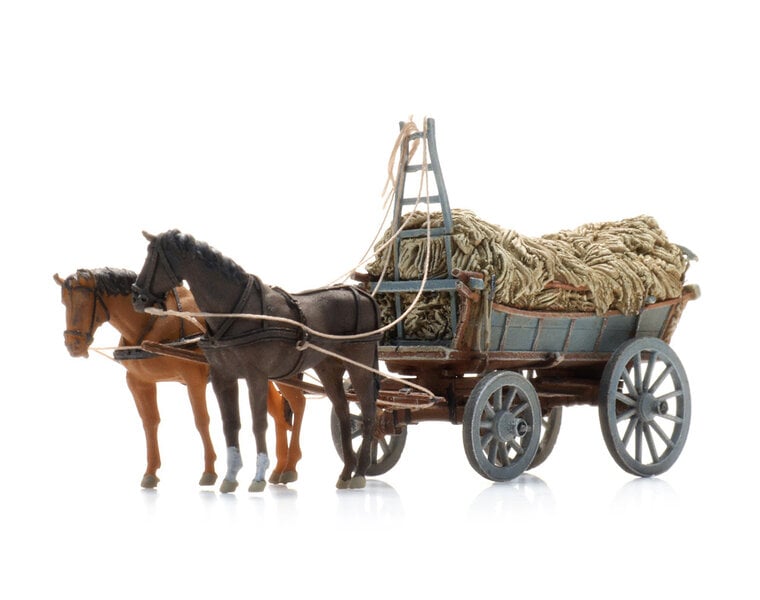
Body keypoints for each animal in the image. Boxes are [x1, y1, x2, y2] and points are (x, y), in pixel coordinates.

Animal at [55, 270, 308, 490]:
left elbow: (201, 421)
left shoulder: (194, 379)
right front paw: (151, 472)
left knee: (298, 404)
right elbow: (150, 423)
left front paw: (209, 471)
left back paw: (290, 466)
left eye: (84, 302)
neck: (154, 323)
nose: (73, 346)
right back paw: (278, 468)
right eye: (64, 303)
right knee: (278, 412)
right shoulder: (139, 382)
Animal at [132, 230, 380, 492]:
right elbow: (230, 424)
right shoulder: (223, 377)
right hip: (328, 367)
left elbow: (258, 423)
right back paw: (346, 472)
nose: (137, 298)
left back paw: (360, 472)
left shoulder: (256, 377)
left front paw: (258, 476)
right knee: (343, 411)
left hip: (359, 365)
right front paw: (230, 476)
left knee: (368, 411)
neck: (237, 312)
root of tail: (363, 294)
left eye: (154, 257)